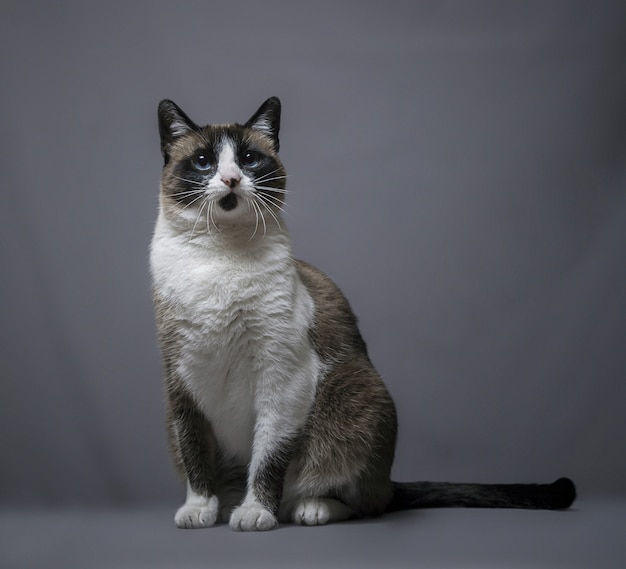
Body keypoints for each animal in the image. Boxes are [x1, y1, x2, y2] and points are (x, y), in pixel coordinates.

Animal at [149, 95, 572, 532]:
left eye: (249, 159)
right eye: (203, 162)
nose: (232, 179)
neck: (220, 255)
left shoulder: (282, 380)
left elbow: (268, 457)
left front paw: (256, 513)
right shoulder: (180, 381)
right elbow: (194, 451)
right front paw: (199, 508)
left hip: (356, 393)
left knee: (360, 498)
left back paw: (306, 508)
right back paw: (228, 504)